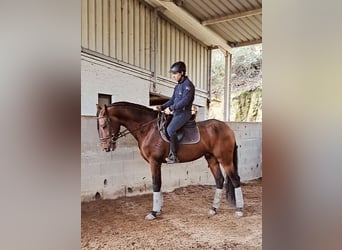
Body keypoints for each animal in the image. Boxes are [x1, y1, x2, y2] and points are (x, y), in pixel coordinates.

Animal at [95, 100, 243, 220]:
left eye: (103, 125)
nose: (105, 147)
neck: (148, 128)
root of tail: (228, 129)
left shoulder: (154, 162)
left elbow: (155, 184)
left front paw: (153, 212)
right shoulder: (156, 163)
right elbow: (159, 183)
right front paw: (158, 209)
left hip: (225, 159)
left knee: (235, 179)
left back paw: (239, 210)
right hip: (211, 158)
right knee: (219, 180)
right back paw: (213, 209)